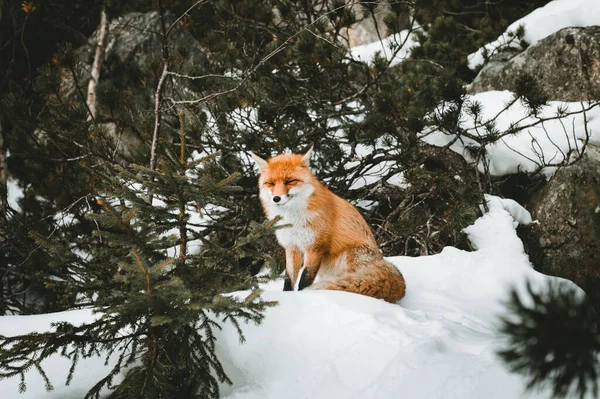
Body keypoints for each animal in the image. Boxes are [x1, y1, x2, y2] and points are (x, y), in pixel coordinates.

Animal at [246, 147, 406, 304]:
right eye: (271, 183)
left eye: (290, 181)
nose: (276, 198)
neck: (293, 219)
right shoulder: (292, 246)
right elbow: (289, 279)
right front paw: (288, 298)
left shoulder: (315, 246)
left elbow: (305, 279)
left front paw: (304, 296)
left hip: (348, 256)